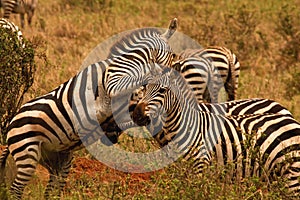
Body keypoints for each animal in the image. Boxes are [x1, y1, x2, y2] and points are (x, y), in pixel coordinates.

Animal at [132, 67, 300, 197]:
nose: (137, 115)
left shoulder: (200, 165)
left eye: (162, 90)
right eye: (145, 87)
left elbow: (193, 194)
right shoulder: (180, 169)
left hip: (291, 176)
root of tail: (287, 114)